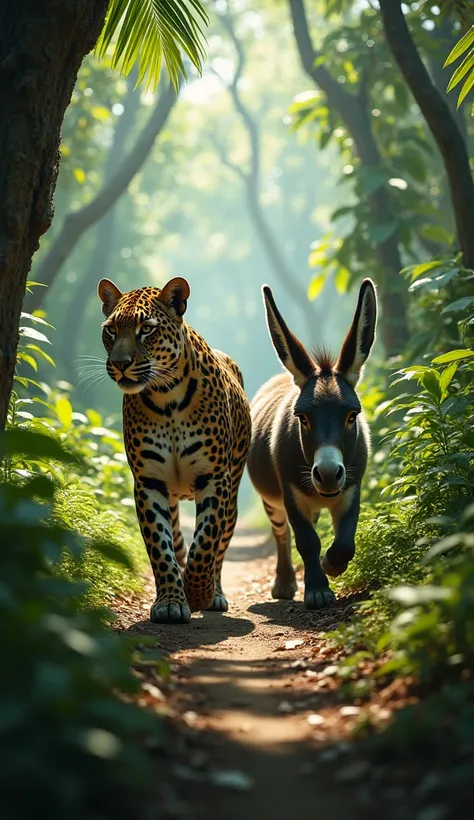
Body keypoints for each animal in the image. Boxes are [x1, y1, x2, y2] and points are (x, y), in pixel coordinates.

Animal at [96, 274, 252, 620]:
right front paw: (170, 600)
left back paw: (215, 593)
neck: (166, 397)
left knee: (220, 545)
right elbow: (160, 546)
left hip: (233, 492)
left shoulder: (214, 476)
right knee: (179, 540)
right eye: (111, 330)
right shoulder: (149, 481)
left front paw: (198, 593)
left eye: (146, 329)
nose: (120, 364)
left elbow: (206, 542)